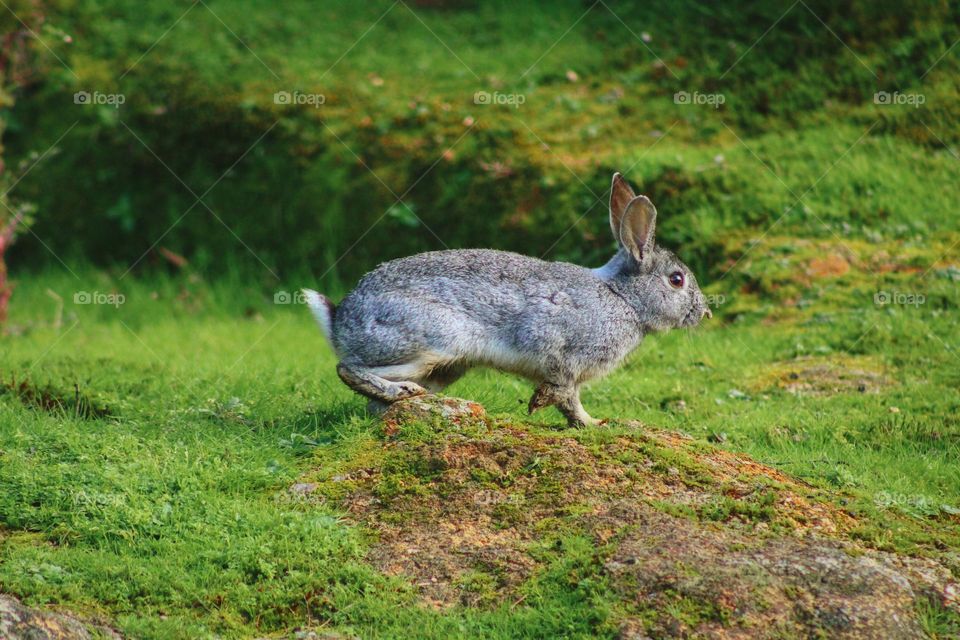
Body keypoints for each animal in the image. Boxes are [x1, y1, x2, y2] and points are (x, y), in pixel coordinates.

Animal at [303, 172, 711, 427]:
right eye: (677, 280)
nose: (703, 313)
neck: (624, 298)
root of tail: (340, 321)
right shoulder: (563, 358)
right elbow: (567, 397)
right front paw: (593, 423)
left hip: (447, 367)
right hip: (432, 340)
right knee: (350, 368)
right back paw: (403, 391)